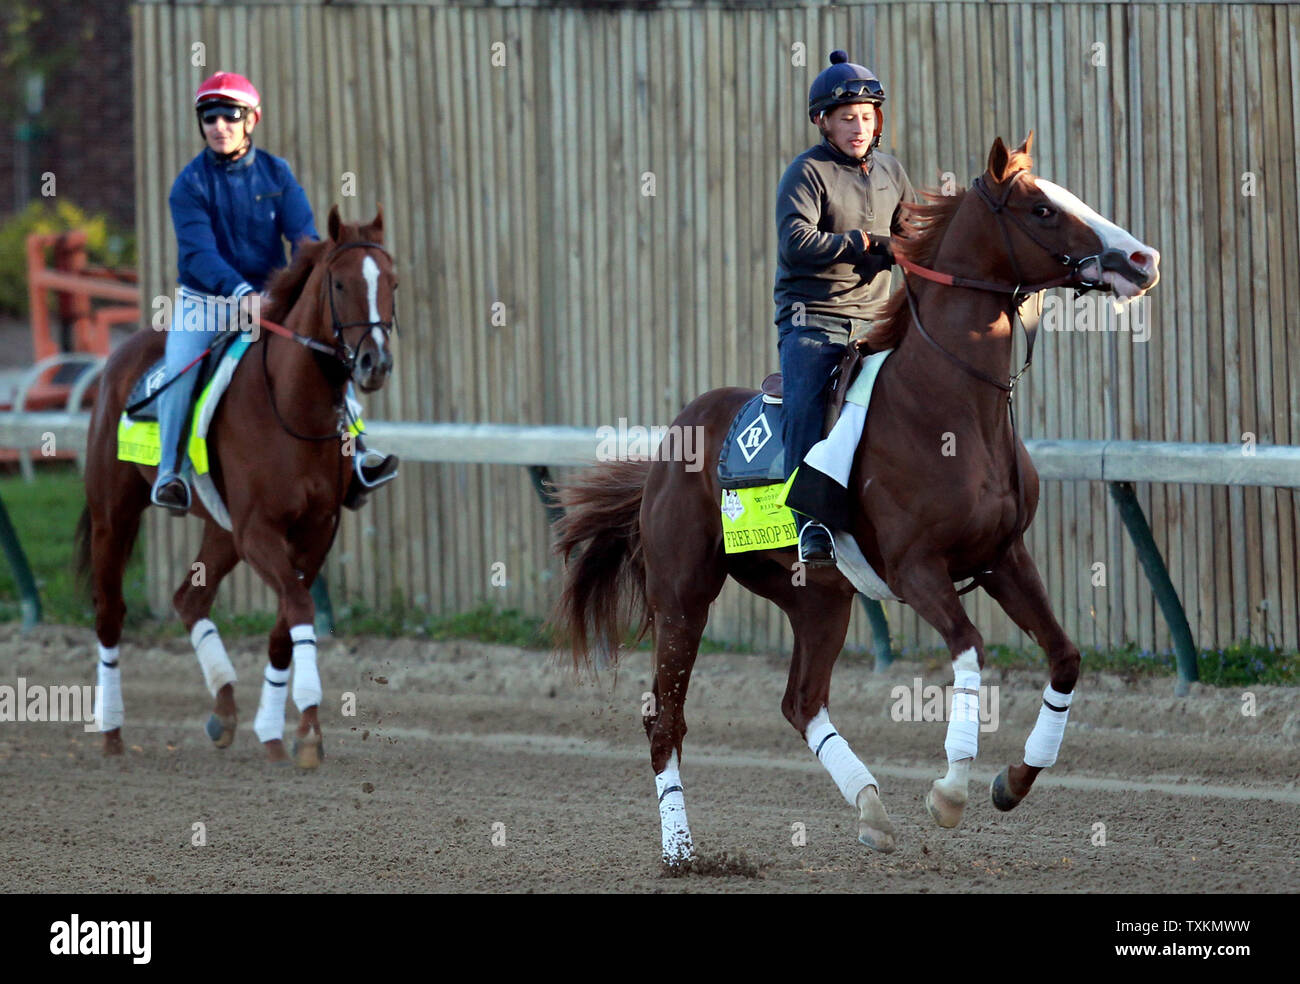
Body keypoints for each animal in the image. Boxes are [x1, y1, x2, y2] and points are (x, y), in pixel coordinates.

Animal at [71, 201, 392, 769]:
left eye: (392, 279)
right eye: (340, 283)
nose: (374, 362)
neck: (291, 405)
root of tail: (121, 355)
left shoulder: (317, 530)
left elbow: (286, 622)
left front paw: (276, 730)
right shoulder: (258, 530)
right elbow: (299, 607)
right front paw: (308, 726)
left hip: (221, 530)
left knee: (188, 599)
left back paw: (224, 709)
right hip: (116, 515)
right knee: (110, 613)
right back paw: (110, 730)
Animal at [553, 136, 1164, 857]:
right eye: (1041, 208)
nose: (1142, 259)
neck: (948, 408)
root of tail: (670, 443)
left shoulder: (1002, 558)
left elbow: (1065, 657)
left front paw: (1013, 781)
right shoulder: (915, 568)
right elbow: (969, 650)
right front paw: (950, 790)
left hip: (818, 597)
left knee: (801, 701)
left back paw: (871, 806)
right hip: (683, 597)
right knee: (665, 721)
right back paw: (682, 851)